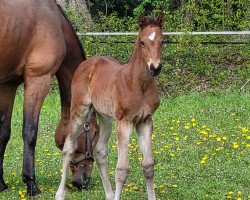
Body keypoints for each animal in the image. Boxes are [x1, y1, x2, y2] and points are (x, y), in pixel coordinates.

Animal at [56, 13, 164, 199]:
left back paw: (109, 194)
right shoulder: (124, 122)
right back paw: (59, 194)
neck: (138, 84)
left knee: (100, 151)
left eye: (162, 41)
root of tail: (88, 62)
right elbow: (122, 169)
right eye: (142, 42)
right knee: (69, 148)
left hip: (105, 117)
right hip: (80, 110)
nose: (155, 67)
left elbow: (148, 166)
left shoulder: (145, 121)